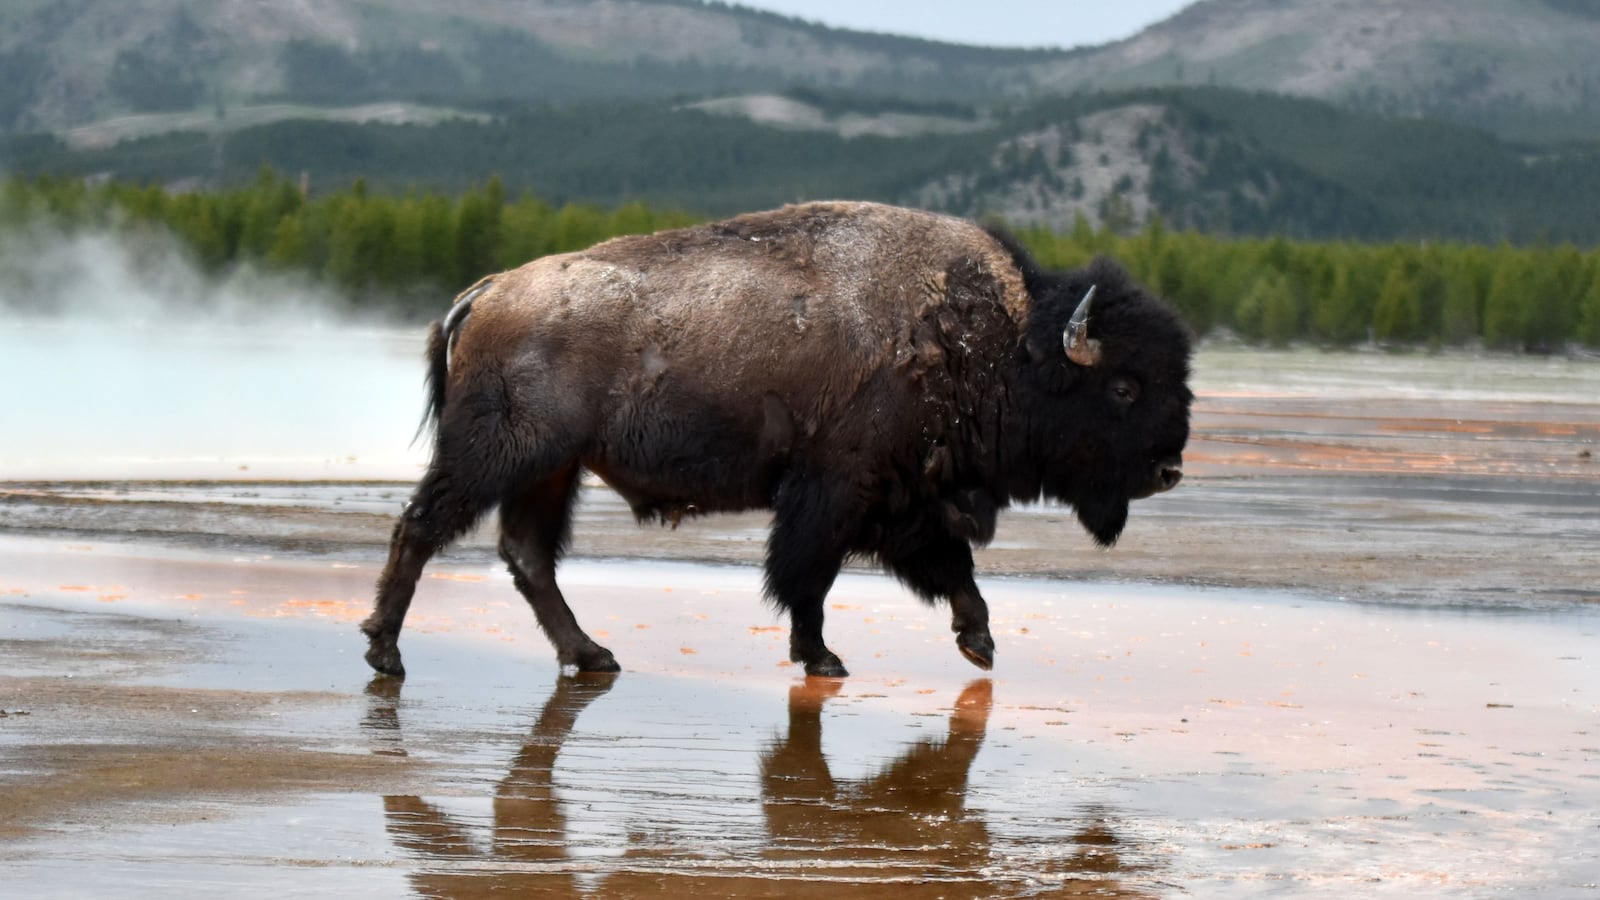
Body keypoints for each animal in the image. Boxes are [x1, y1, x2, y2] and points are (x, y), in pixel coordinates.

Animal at [361, 201, 1192, 678]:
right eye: (1124, 387)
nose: (1169, 468)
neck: (995, 339)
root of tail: (486, 291)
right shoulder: (838, 489)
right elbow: (809, 576)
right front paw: (823, 659)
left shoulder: (903, 498)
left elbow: (946, 566)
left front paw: (978, 642)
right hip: (500, 456)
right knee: (423, 528)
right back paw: (385, 653)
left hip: (554, 469)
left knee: (528, 555)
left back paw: (591, 656)